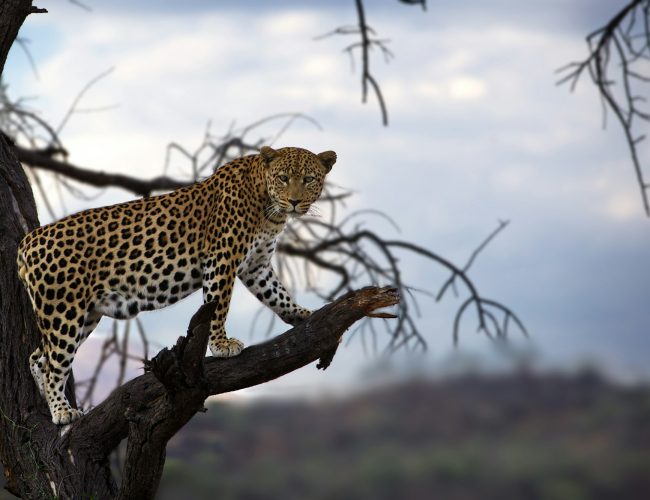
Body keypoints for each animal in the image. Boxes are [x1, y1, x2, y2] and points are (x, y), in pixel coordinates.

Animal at [17, 146, 336, 424]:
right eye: (283, 178)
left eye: (308, 179)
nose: (294, 201)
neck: (271, 211)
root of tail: (28, 240)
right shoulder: (222, 258)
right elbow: (218, 303)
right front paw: (221, 345)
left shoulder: (256, 266)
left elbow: (277, 294)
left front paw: (304, 315)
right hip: (63, 312)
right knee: (54, 364)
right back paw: (61, 412)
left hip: (85, 313)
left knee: (38, 357)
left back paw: (49, 403)